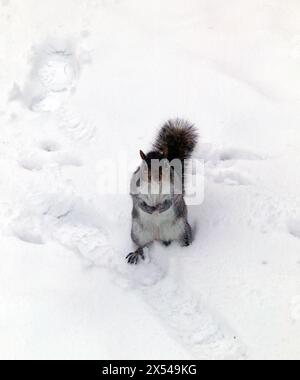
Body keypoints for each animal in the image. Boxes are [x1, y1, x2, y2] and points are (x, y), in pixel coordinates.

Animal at [125, 119, 198, 264]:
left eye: (162, 165)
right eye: (145, 166)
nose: (155, 177)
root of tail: (158, 237)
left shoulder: (175, 189)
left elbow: (172, 199)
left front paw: (162, 208)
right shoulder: (135, 187)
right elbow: (137, 199)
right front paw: (148, 209)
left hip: (182, 230)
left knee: (184, 239)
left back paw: (186, 251)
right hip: (138, 233)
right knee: (139, 244)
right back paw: (136, 253)